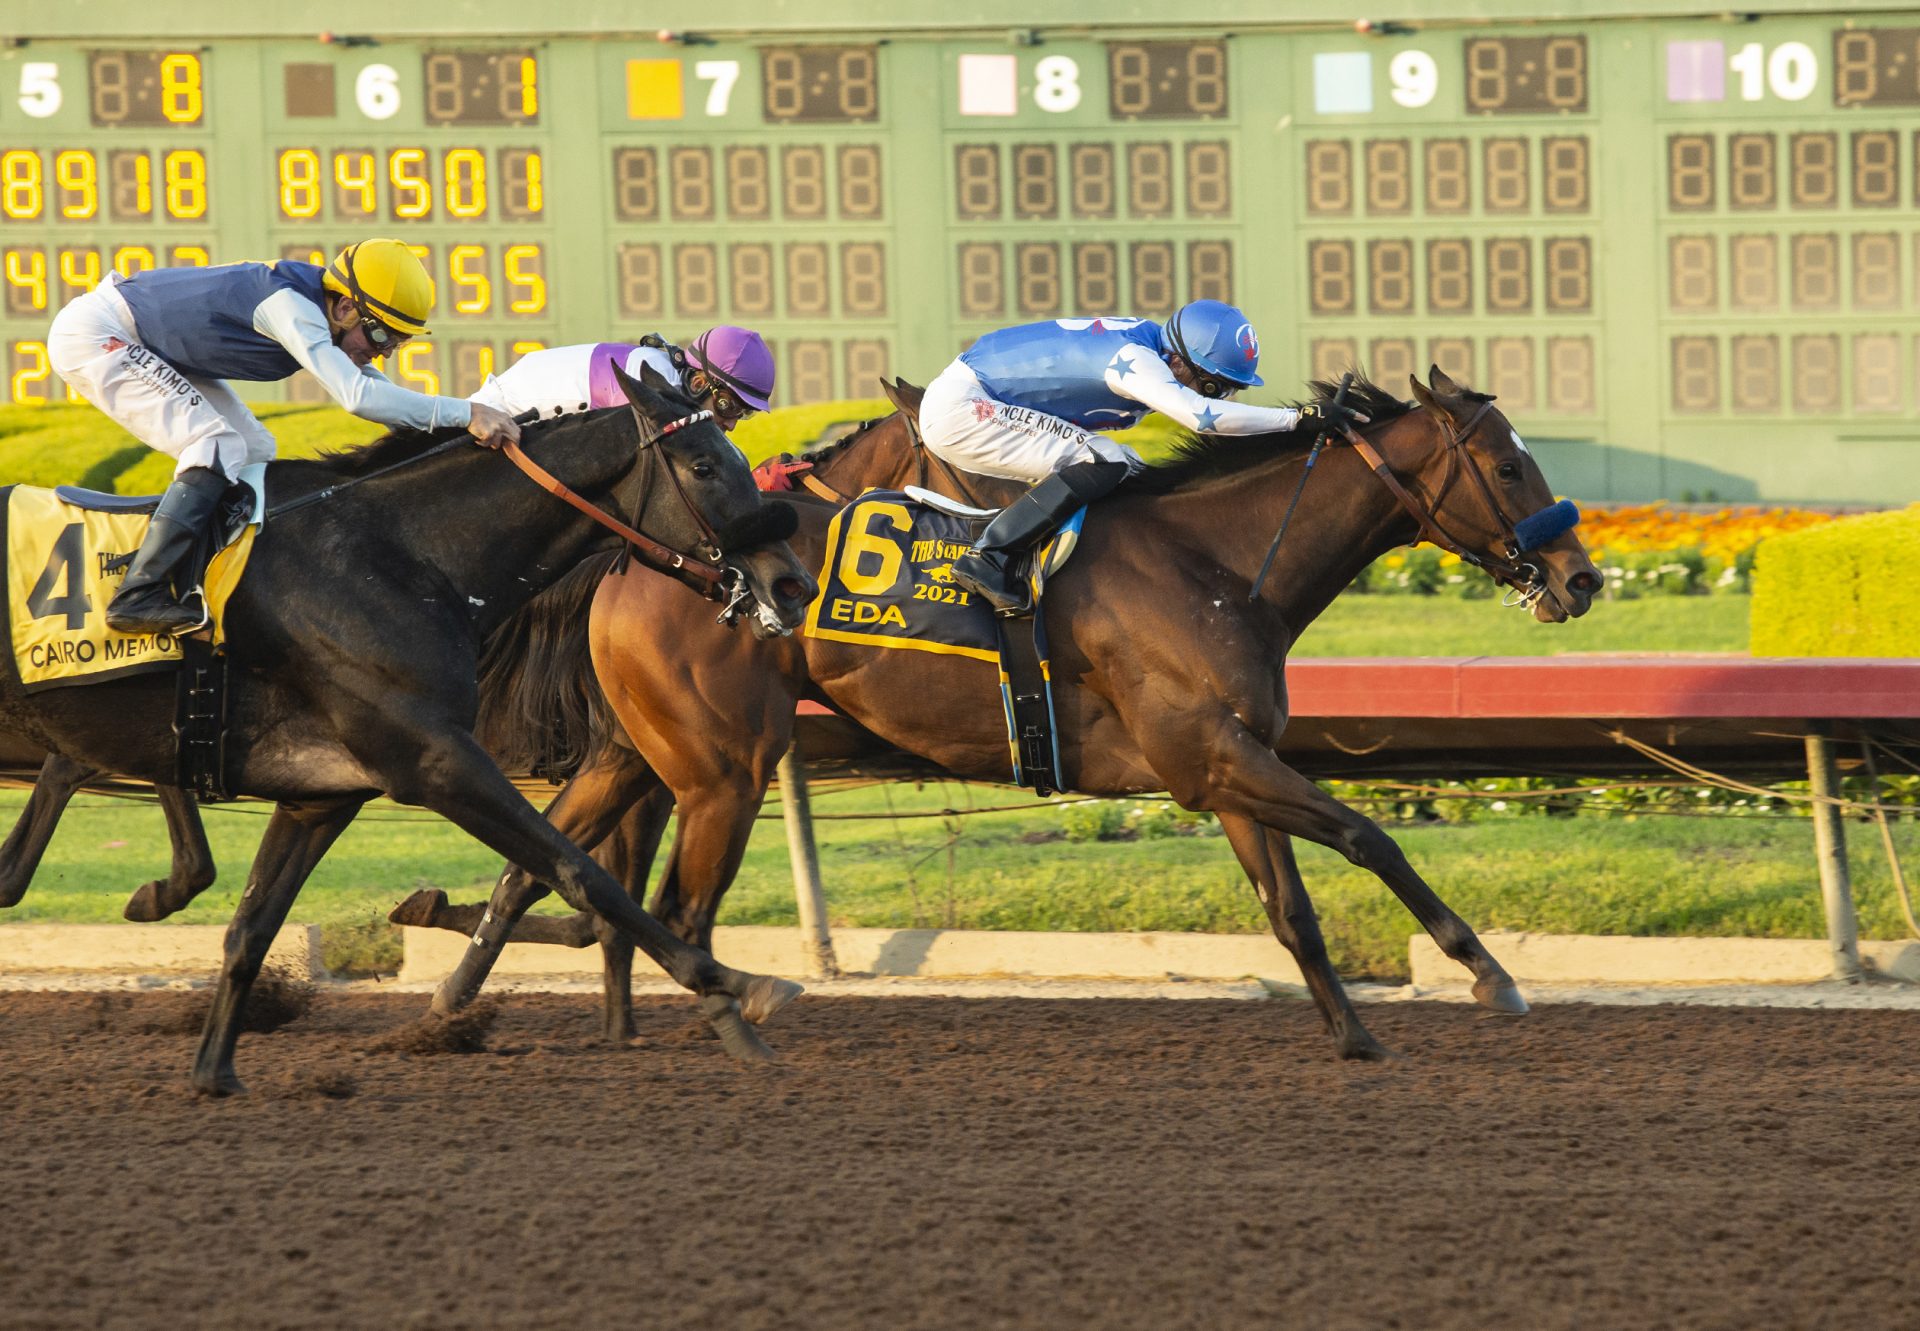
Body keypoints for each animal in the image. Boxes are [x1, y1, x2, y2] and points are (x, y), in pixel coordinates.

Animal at [0, 363, 817, 1090]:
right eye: (705, 464)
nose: (793, 584)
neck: (404, 556)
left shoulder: (321, 795)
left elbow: (251, 928)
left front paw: (215, 1073)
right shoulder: (438, 761)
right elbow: (579, 872)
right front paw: (736, 987)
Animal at [408, 370, 1605, 1060]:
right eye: (1508, 464)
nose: (1581, 577)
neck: (1220, 563)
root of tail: (632, 552)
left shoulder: (1224, 764)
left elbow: (1292, 908)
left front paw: (1354, 1035)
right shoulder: (1212, 756)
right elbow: (1368, 835)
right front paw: (1488, 972)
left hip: (641, 748)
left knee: (548, 859)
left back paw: (453, 1005)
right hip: (725, 765)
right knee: (676, 910)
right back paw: (728, 1022)